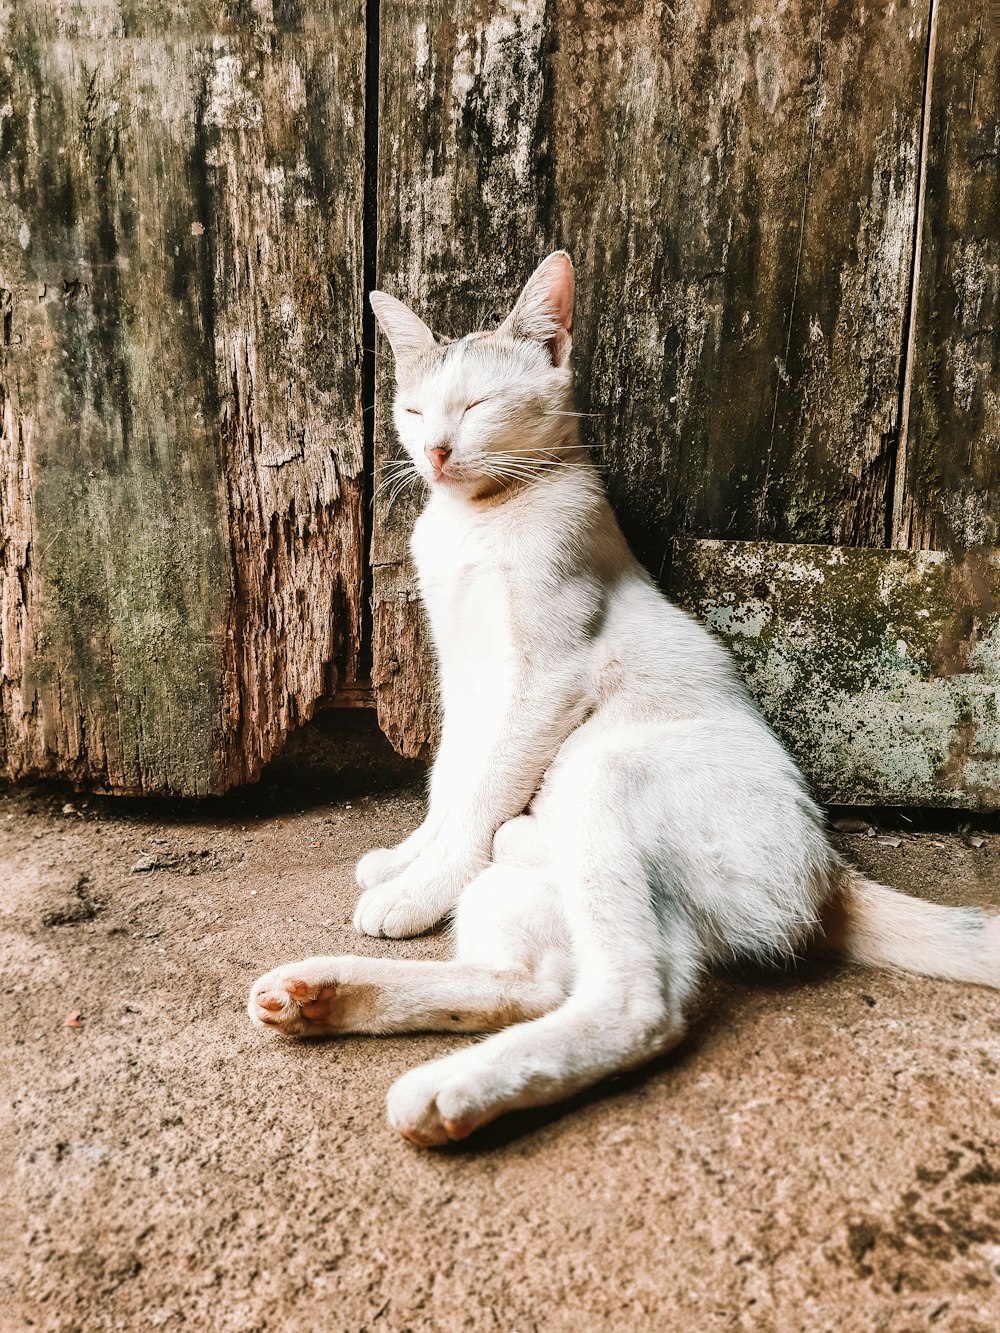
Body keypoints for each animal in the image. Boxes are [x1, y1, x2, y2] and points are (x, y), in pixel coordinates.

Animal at [249, 257, 1000, 1146]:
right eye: (415, 409)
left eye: (477, 406)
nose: (434, 450)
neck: (476, 526)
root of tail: (831, 872)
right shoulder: (464, 678)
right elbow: (453, 779)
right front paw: (410, 856)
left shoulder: (548, 677)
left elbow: (483, 787)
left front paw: (418, 886)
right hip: (534, 893)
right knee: (535, 982)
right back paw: (324, 995)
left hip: (607, 774)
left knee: (643, 999)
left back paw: (447, 1089)